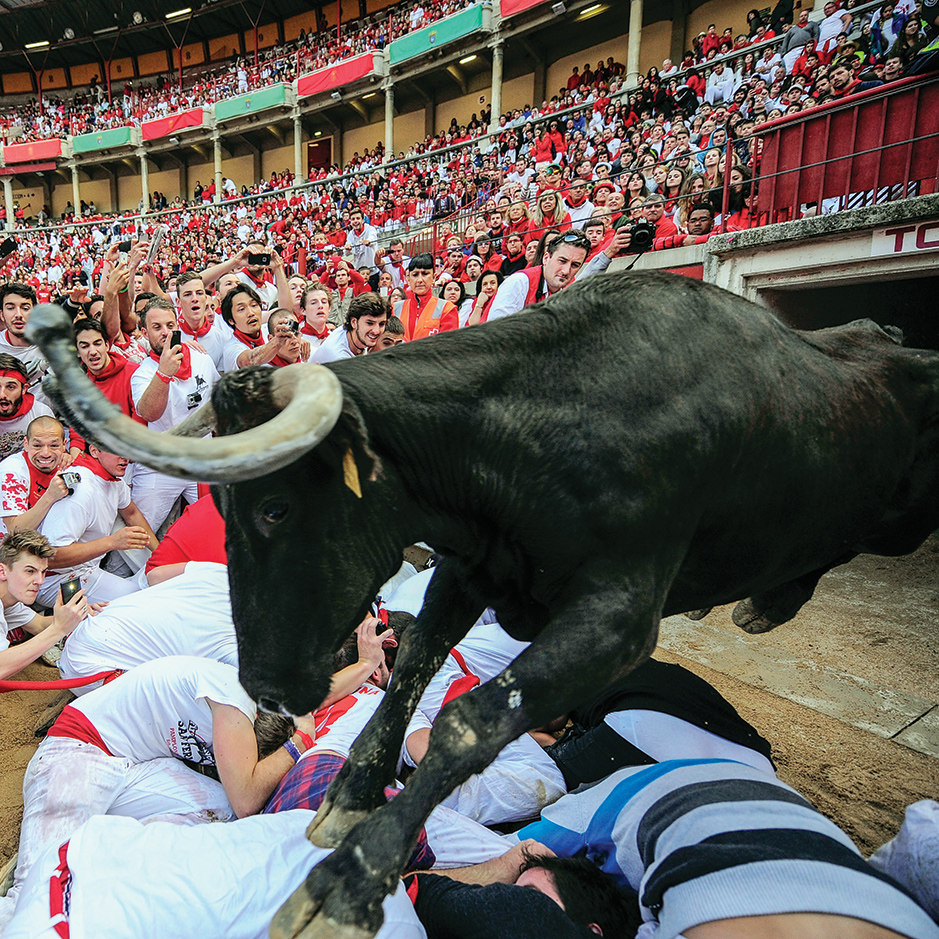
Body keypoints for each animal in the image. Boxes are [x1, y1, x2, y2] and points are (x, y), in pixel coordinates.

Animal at [28, 271, 939, 939]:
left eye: (276, 509)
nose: (271, 690)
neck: (531, 429)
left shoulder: (617, 618)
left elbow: (469, 718)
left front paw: (346, 885)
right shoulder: (471, 573)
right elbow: (409, 675)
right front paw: (348, 799)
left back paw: (769, 602)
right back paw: (766, 603)